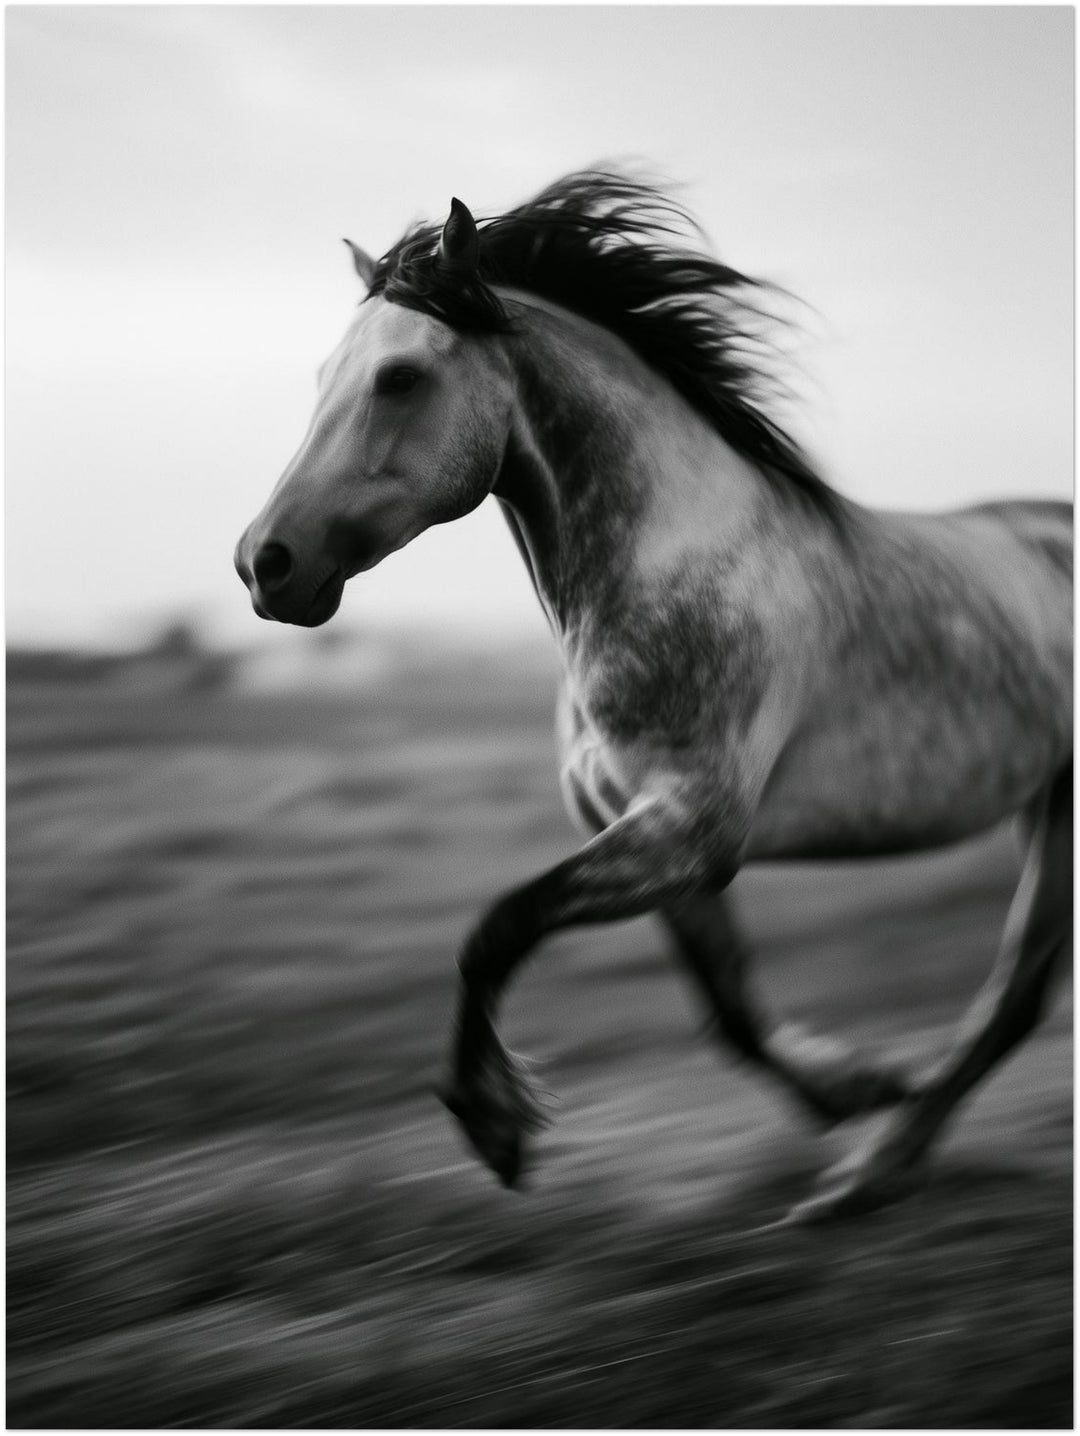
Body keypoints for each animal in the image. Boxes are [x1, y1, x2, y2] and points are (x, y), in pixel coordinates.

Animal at [235, 170, 1072, 1222]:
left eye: (400, 378)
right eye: (323, 380)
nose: (265, 564)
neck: (670, 567)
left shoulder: (689, 830)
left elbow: (494, 929)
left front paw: (495, 1126)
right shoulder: (650, 840)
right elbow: (729, 1009)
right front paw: (856, 1086)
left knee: (1013, 997)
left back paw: (865, 1175)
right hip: (1047, 803)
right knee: (1016, 998)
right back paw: (872, 1167)